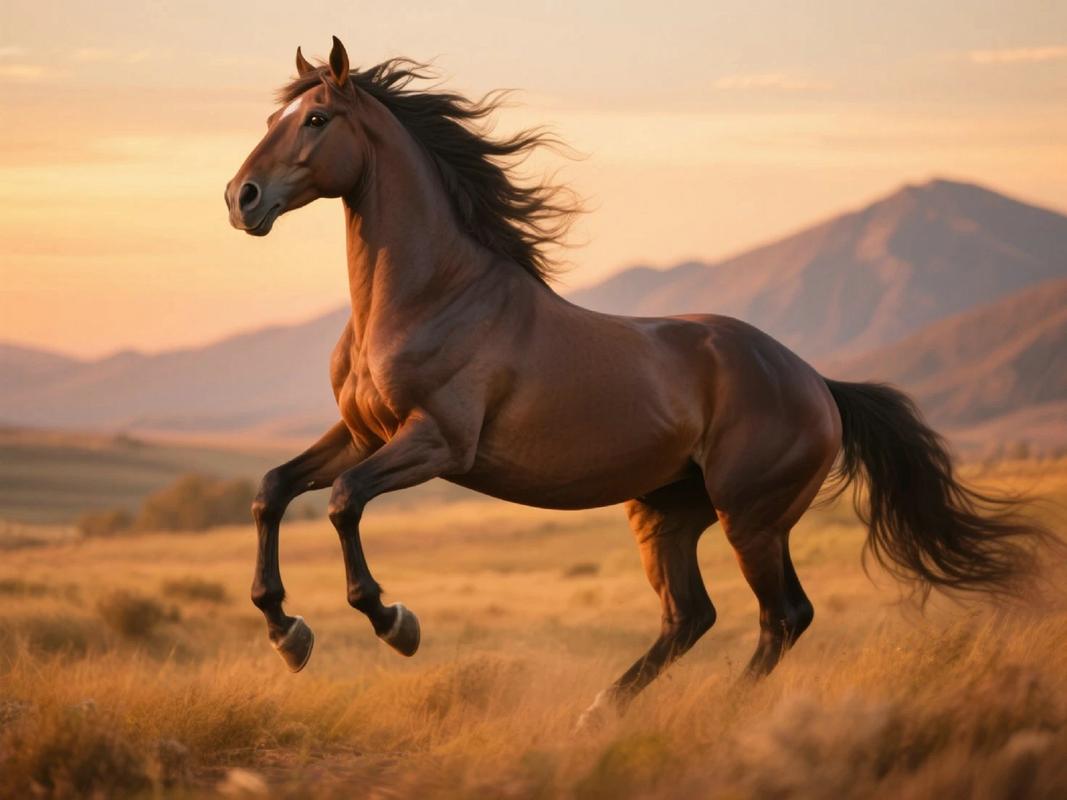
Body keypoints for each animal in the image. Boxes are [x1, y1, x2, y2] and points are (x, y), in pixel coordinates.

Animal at [224, 37, 1045, 728]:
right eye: (271, 117)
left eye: (317, 119)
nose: (242, 198)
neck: (432, 296)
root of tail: (816, 381)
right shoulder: (362, 433)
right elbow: (272, 488)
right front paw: (287, 632)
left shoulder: (437, 443)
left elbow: (341, 501)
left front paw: (395, 623)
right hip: (665, 514)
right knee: (690, 617)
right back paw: (599, 714)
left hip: (752, 517)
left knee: (782, 616)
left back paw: (714, 714)